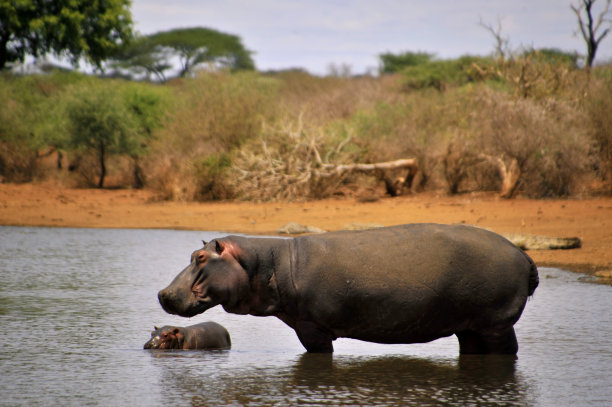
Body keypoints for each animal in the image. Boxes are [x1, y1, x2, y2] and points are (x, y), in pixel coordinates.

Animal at [157, 225, 536, 356]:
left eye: (200, 257)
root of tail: (523, 255)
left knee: (508, 351)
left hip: (497, 324)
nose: (162, 293)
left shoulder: (311, 326)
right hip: (469, 327)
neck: (266, 263)